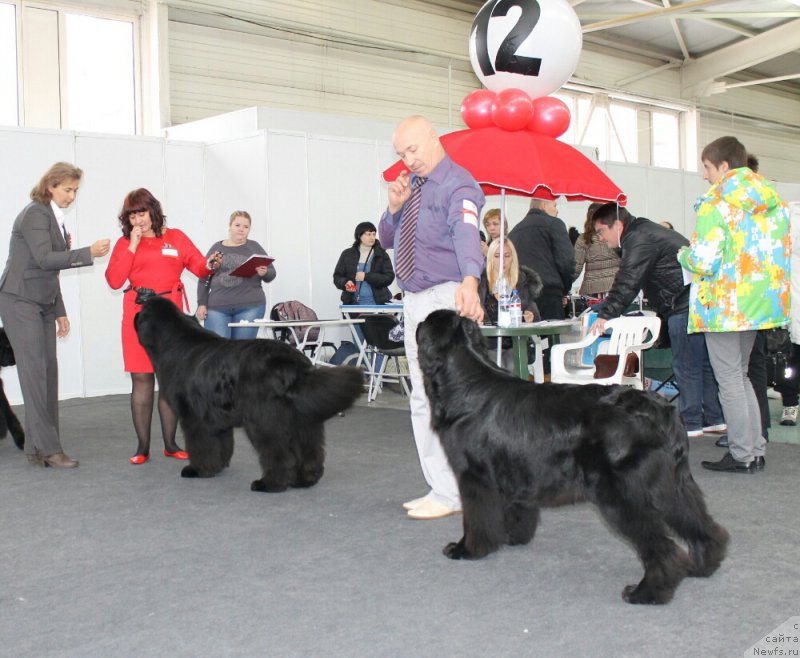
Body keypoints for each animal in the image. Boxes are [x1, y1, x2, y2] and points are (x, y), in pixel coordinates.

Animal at [134, 298, 362, 492]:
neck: (173, 343)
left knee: (280, 453)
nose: (134, 315)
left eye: (142, 310)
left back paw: (269, 484)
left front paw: (197, 469)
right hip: (303, 419)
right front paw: (216, 467)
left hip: (264, 419)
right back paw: (305, 480)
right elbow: (221, 444)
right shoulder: (216, 417)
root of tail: (294, 363)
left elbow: (200, 445)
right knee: (310, 451)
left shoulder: (194, 417)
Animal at [418, 310, 732, 604]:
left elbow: (476, 519)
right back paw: (703, 565)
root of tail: (663, 411)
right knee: (700, 523)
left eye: (423, 324)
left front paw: (467, 549)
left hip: (622, 493)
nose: (414, 324)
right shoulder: (515, 469)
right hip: (673, 484)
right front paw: (513, 537)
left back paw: (646, 592)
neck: (465, 382)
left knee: (663, 547)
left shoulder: (473, 476)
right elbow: (517, 508)